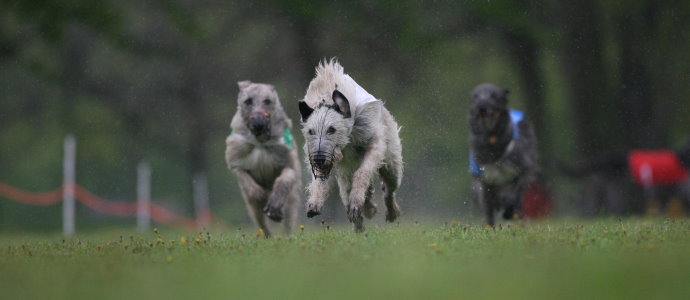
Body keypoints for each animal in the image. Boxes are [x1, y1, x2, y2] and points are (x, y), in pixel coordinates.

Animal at [468, 82, 536, 225]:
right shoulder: (483, 179)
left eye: (494, 95)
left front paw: (510, 211)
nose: (481, 107)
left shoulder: (524, 170)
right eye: (475, 96)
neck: (491, 138)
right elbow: (487, 206)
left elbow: (514, 194)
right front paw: (490, 227)